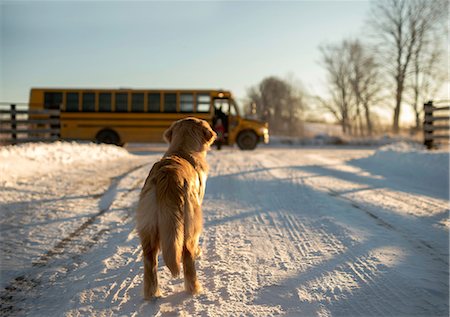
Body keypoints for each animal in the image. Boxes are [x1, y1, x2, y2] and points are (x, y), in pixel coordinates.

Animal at [135, 117, 216, 298]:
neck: (182, 150)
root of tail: (168, 176)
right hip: (190, 220)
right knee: (187, 254)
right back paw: (194, 289)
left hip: (149, 225)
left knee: (150, 259)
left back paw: (152, 294)